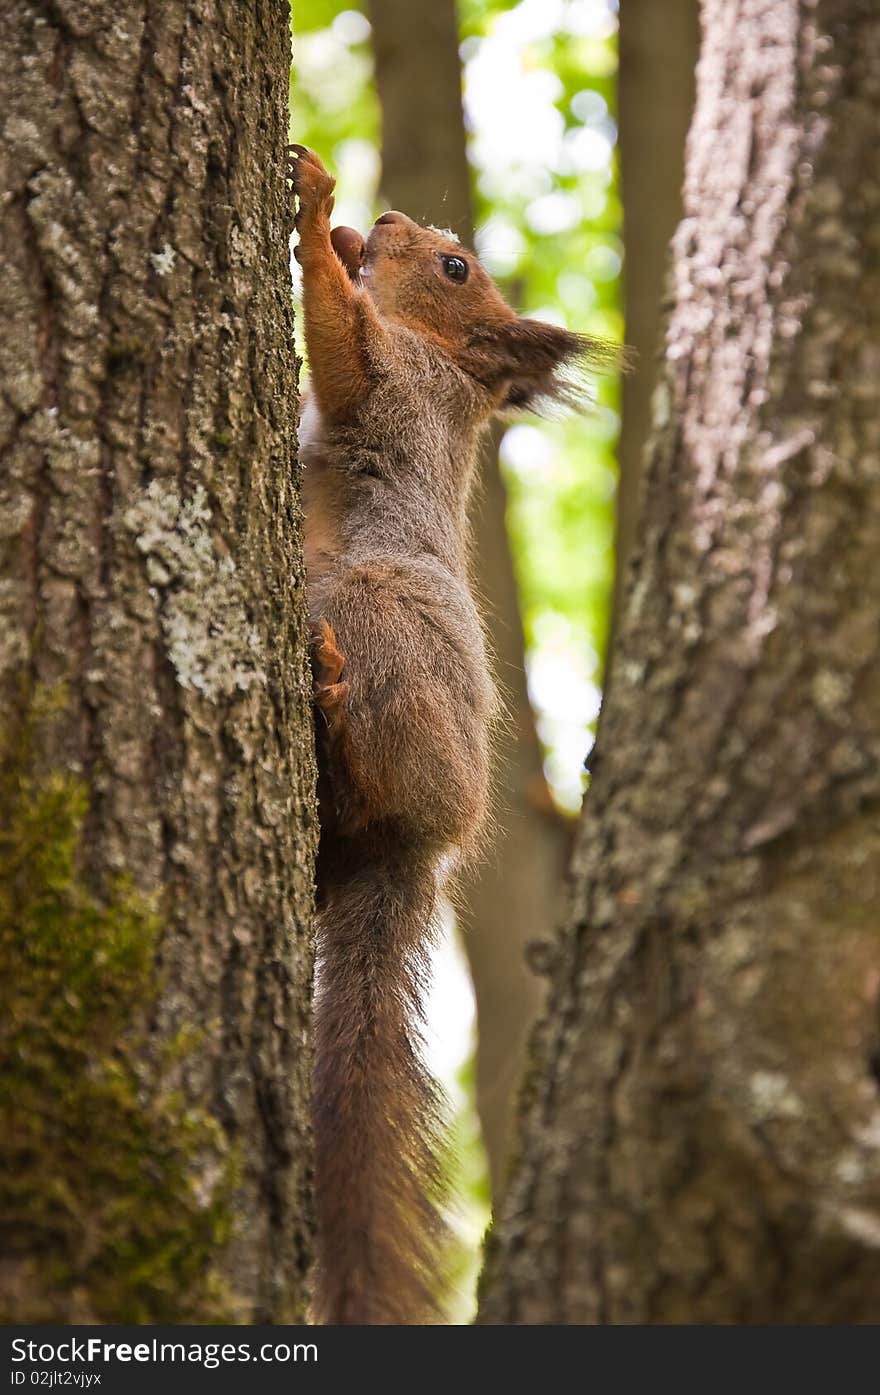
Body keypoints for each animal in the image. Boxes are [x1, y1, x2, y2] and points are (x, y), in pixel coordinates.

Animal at [288, 147, 605, 1322]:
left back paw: (333, 701)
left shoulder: (395, 385)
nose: (385, 218)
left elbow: (342, 341)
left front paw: (314, 215)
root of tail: (421, 848)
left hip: (368, 608)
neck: (449, 369)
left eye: (457, 268)